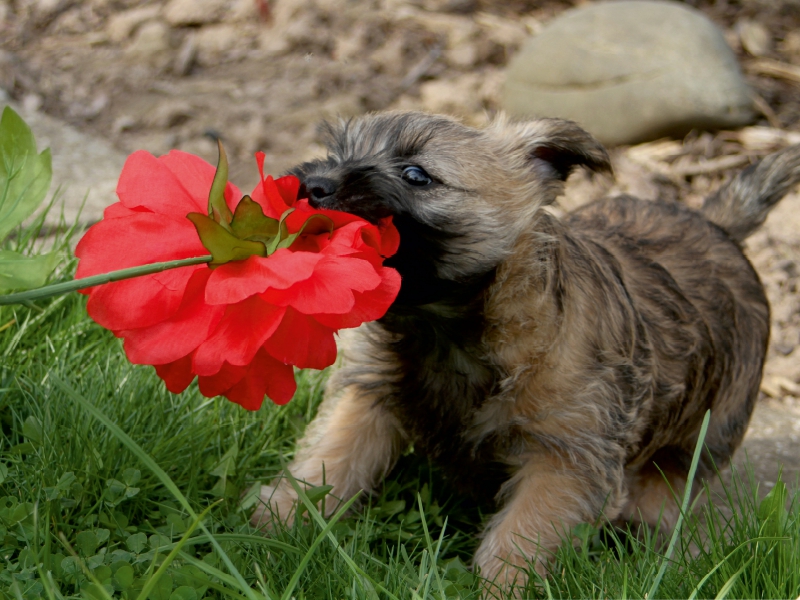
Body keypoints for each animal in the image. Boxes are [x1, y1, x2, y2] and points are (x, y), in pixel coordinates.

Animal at [250, 110, 800, 588]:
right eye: (338, 152)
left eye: (416, 174)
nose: (312, 185)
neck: (447, 332)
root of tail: (717, 225)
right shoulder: (367, 396)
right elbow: (329, 460)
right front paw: (274, 527)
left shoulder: (565, 458)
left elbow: (523, 534)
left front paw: (502, 587)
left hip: (704, 432)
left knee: (669, 487)